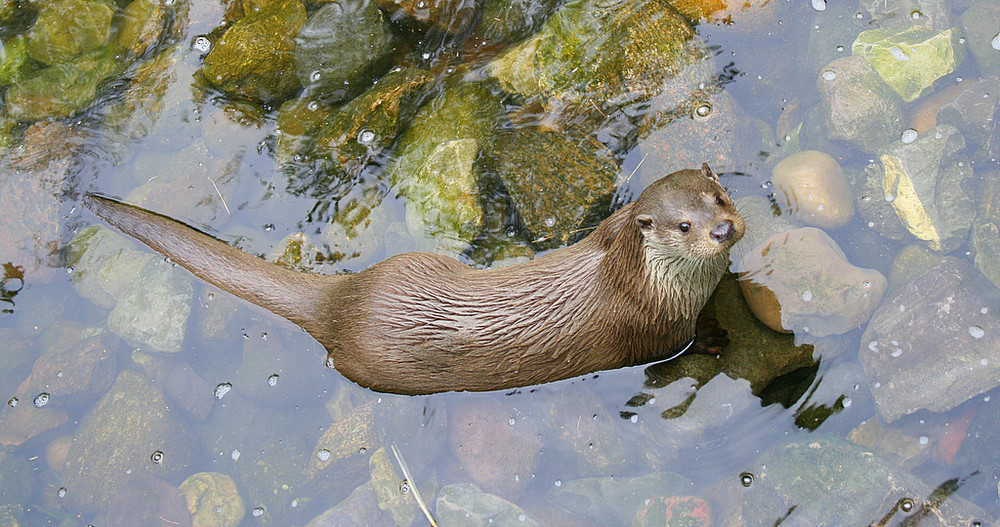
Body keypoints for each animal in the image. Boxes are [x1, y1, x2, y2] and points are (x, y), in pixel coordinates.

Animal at [86, 166, 744, 396]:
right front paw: (716, 341)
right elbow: (682, 348)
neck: (641, 279)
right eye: (684, 225)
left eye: (718, 196)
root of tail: (342, 301)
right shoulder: (654, 329)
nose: (723, 230)